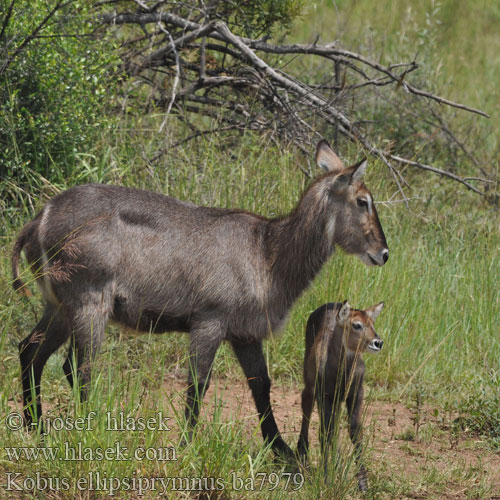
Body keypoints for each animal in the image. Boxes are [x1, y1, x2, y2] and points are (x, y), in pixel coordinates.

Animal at [10, 140, 386, 458]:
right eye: (363, 201)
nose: (382, 253)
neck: (268, 253)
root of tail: (40, 217)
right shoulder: (210, 321)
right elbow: (199, 383)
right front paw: (186, 446)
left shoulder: (244, 334)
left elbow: (261, 386)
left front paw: (281, 450)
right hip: (89, 303)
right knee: (77, 366)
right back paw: (87, 428)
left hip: (59, 306)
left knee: (30, 350)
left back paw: (36, 429)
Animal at [298, 300, 384, 488]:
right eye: (356, 324)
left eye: (372, 324)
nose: (378, 342)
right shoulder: (325, 396)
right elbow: (325, 432)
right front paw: (326, 478)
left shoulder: (356, 394)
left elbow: (355, 431)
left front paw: (363, 483)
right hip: (311, 386)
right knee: (307, 405)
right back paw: (302, 452)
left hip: (337, 400)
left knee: (334, 425)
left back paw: (337, 463)